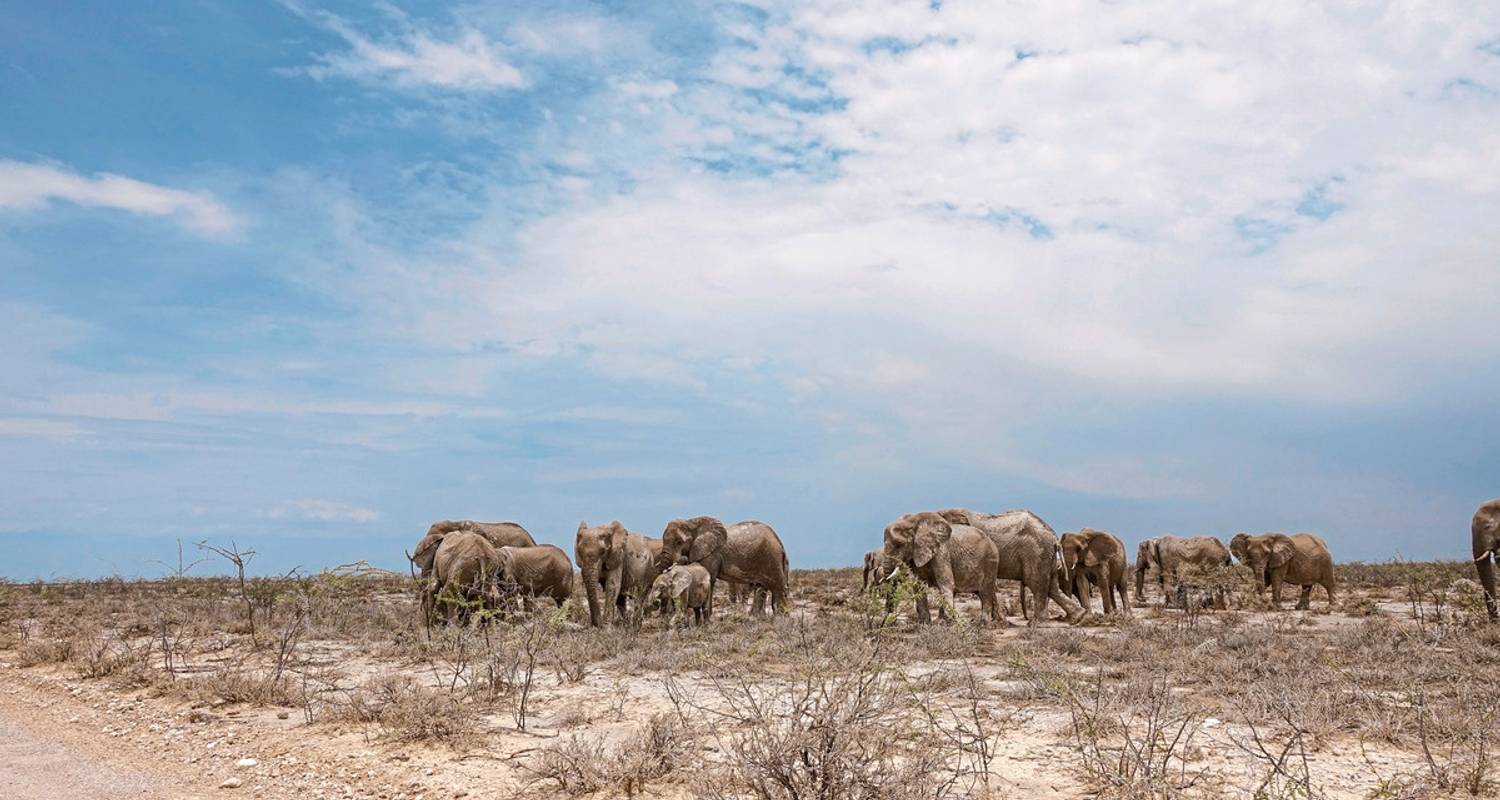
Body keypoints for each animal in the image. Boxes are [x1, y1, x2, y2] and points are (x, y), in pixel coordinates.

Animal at [660, 513, 798, 621]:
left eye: (679, 542)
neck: (691, 521)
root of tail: (780, 544)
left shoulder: (712, 553)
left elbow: (709, 578)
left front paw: (708, 620)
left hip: (771, 558)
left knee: (777, 588)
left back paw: (781, 619)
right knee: (761, 588)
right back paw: (757, 618)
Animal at [936, 507, 1080, 627]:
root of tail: (1054, 536)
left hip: (1037, 552)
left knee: (1036, 583)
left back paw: (1036, 623)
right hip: (1047, 556)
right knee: (1052, 587)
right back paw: (1079, 617)